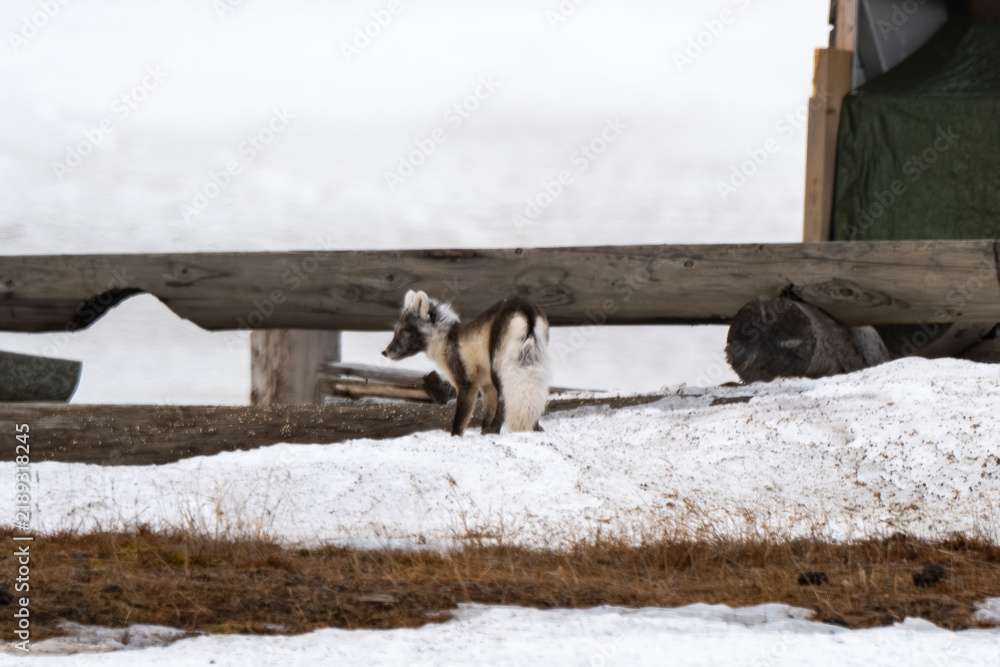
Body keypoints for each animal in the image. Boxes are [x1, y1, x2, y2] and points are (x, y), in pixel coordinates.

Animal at [382, 290, 551, 436]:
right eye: (396, 330)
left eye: (404, 331)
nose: (384, 352)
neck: (447, 339)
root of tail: (526, 307)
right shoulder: (486, 386)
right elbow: (486, 416)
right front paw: (483, 430)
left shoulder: (467, 385)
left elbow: (458, 423)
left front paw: (456, 438)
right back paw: (532, 429)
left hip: (500, 372)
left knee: (504, 404)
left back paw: (492, 432)